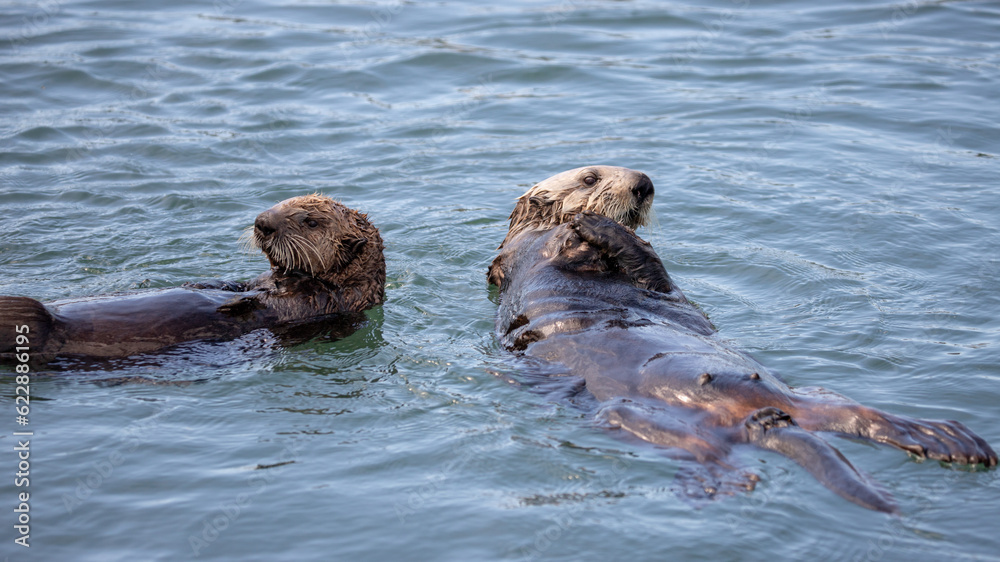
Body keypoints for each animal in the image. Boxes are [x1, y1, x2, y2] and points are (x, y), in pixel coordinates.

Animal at [0, 194, 385, 362]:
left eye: (311, 221)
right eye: (285, 201)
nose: (262, 222)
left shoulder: (321, 303)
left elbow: (268, 306)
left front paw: (234, 305)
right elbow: (237, 285)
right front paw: (206, 286)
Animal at [489, 166, 996, 513]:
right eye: (590, 177)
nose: (643, 183)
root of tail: (760, 416)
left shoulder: (650, 277)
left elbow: (652, 271)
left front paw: (601, 228)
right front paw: (588, 225)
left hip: (806, 395)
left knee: (849, 413)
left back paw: (949, 439)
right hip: (627, 415)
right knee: (702, 446)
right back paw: (728, 481)